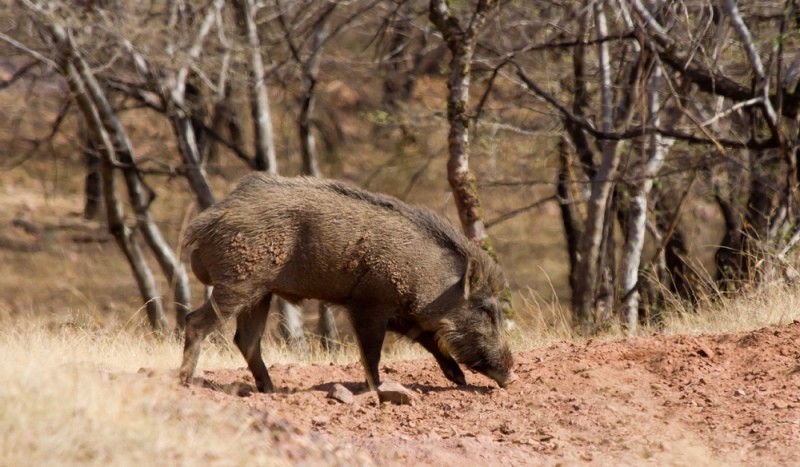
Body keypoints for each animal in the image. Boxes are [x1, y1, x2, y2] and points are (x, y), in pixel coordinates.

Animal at [179, 173, 516, 392]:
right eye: (486, 310)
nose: (511, 377)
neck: (433, 281)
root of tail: (206, 220)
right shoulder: (369, 304)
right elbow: (372, 352)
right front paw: (377, 389)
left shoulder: (403, 314)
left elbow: (430, 340)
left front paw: (459, 380)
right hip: (238, 283)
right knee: (195, 321)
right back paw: (185, 382)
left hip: (260, 293)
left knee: (246, 339)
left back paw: (271, 390)